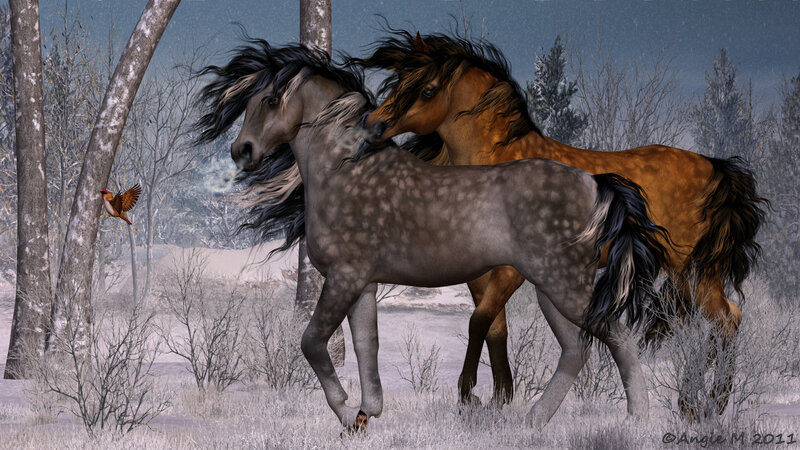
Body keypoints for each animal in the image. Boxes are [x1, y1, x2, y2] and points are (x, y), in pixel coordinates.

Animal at [195, 41, 670, 431]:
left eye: (272, 99)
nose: (243, 151)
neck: (346, 169)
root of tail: (594, 184)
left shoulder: (344, 278)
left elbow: (312, 343)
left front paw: (347, 412)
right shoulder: (362, 284)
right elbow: (367, 346)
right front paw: (367, 414)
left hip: (565, 286)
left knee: (619, 339)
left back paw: (636, 422)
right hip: (550, 290)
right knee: (576, 350)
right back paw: (532, 422)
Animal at [352, 30, 768, 418]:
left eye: (427, 89)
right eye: (397, 80)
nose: (372, 126)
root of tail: (714, 166)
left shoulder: (513, 270)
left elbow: (478, 320)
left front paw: (469, 394)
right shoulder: (481, 273)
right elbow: (494, 325)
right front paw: (500, 398)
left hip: (692, 271)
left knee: (727, 319)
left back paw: (708, 405)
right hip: (683, 275)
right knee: (711, 322)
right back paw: (692, 405)